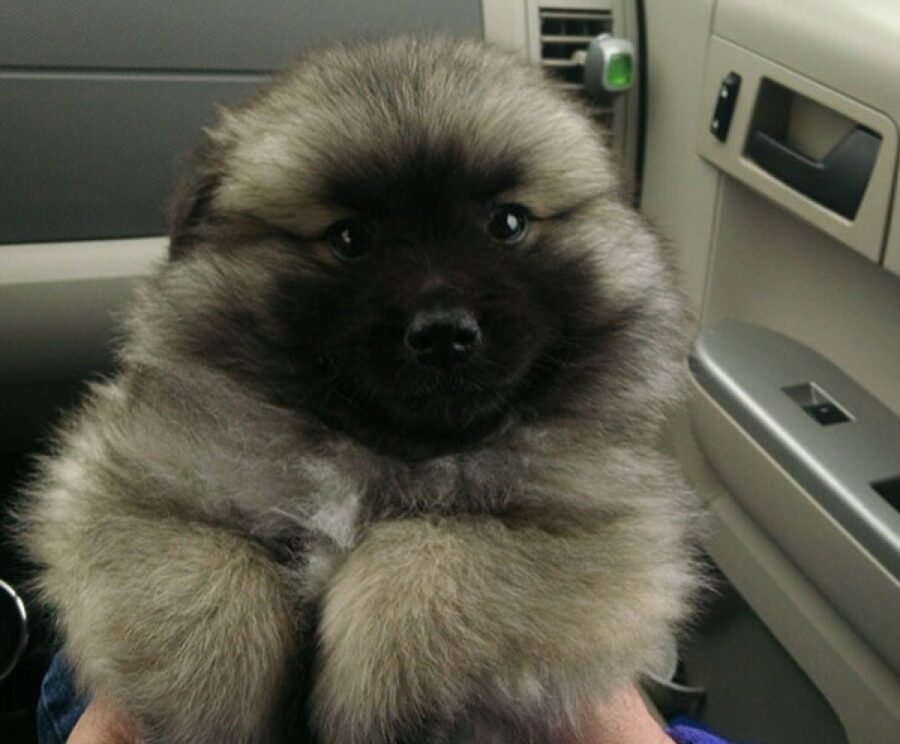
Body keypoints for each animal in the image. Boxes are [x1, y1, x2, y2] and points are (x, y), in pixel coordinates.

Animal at [19, 37, 696, 744]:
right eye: (350, 238)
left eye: (507, 223)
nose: (444, 331)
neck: (377, 448)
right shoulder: (130, 489)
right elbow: (211, 582)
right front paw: (216, 706)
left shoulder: (591, 534)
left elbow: (431, 556)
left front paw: (374, 697)